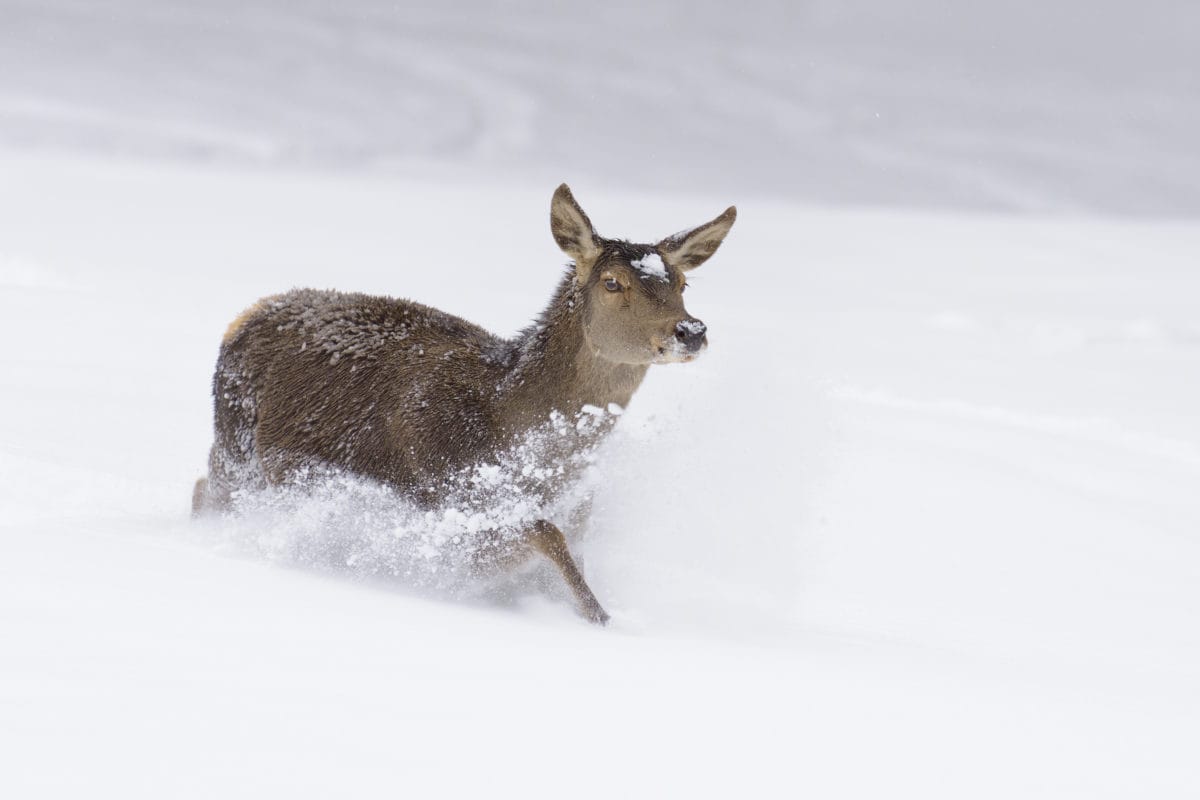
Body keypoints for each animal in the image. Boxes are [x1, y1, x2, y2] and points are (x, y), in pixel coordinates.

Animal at [192, 184, 737, 624]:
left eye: (682, 283)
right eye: (612, 283)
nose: (691, 330)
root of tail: (244, 316)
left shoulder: (580, 512)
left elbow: (562, 552)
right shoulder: (449, 489)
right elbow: (544, 538)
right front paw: (603, 621)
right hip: (237, 454)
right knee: (205, 491)